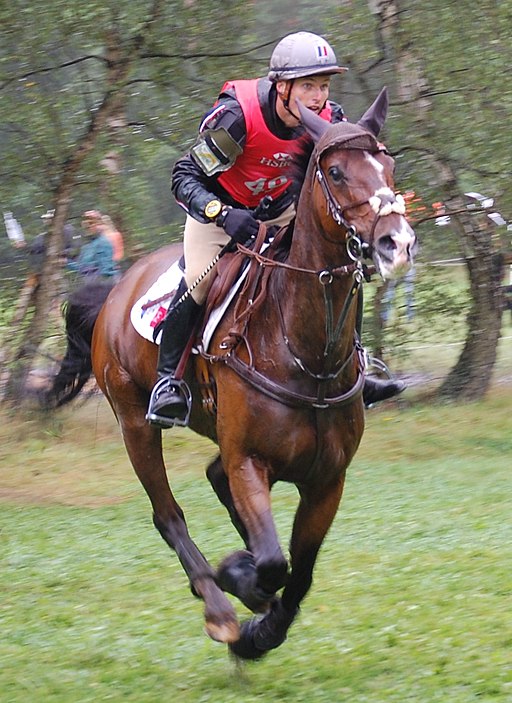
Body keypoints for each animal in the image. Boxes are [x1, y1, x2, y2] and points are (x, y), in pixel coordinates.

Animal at [46, 88, 418, 660]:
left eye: (390, 166)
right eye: (335, 172)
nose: (396, 244)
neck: (304, 351)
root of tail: (114, 290)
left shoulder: (327, 480)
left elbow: (299, 573)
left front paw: (260, 632)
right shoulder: (249, 462)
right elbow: (272, 565)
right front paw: (239, 587)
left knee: (214, 481)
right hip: (134, 421)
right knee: (167, 513)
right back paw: (219, 607)